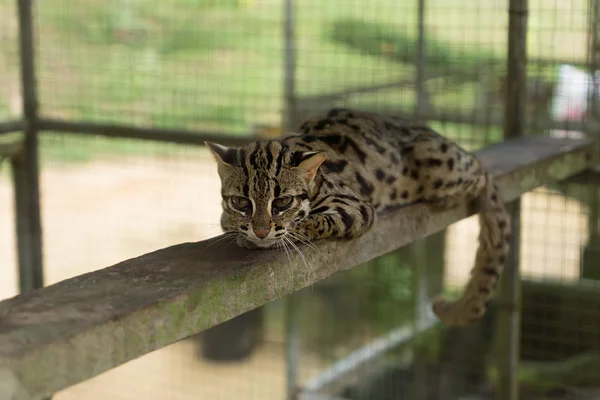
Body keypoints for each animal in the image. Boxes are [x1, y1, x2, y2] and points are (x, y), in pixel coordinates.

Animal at [206, 108, 510, 326]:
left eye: (282, 202)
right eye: (240, 202)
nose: (260, 231)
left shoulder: (355, 205)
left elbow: (314, 221)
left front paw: (283, 232)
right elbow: (225, 220)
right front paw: (239, 228)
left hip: (435, 164)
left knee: (481, 172)